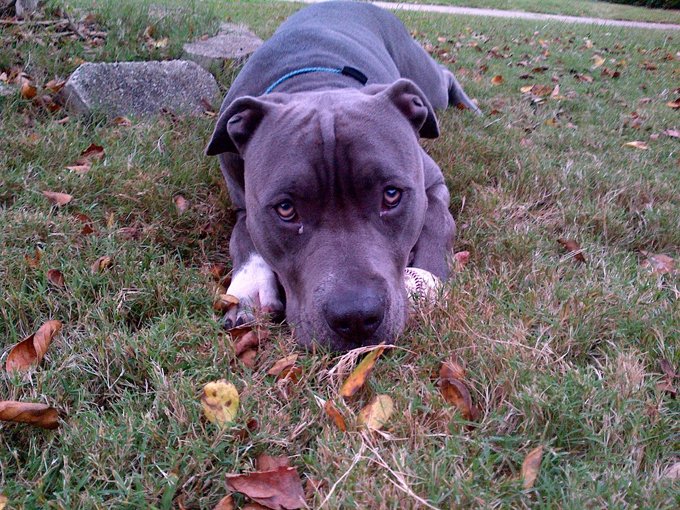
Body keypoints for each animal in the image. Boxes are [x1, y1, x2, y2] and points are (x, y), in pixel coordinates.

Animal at [207, 0, 478, 350]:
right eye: (286, 209)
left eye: (391, 195)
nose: (357, 316)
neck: (317, 84)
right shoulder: (244, 205)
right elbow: (243, 236)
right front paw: (248, 288)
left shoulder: (431, 182)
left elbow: (437, 219)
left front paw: (429, 275)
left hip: (426, 81)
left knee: (443, 76)